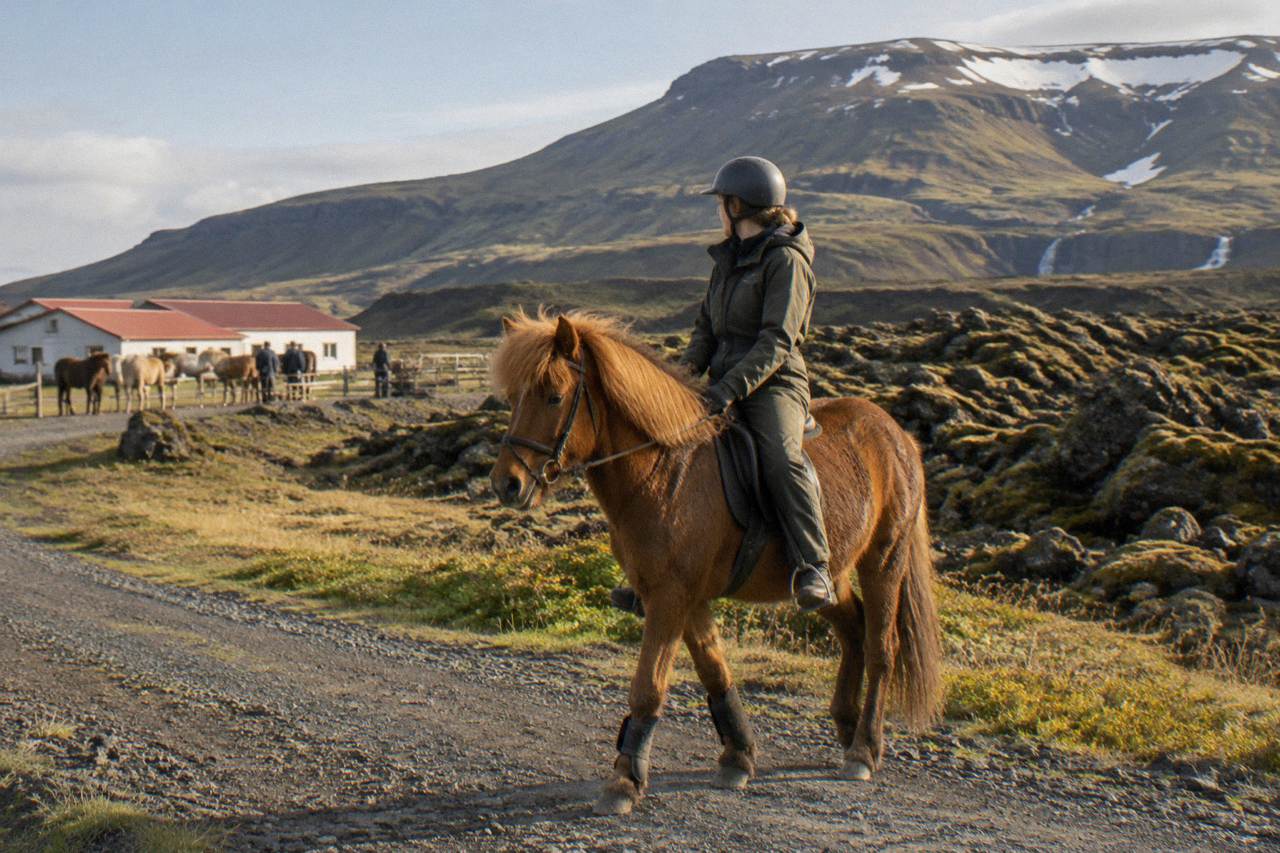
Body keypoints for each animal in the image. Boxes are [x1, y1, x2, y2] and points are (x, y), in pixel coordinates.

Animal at [489, 311, 941, 816]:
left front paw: (625, 780)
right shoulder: (684, 597)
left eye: (554, 396)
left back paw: (864, 749)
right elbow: (715, 671)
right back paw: (846, 729)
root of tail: (897, 435)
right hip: (830, 577)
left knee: (882, 646)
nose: (507, 484)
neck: (664, 470)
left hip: (884, 560)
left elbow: (648, 688)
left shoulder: (670, 598)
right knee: (854, 632)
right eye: (514, 398)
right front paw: (738, 758)